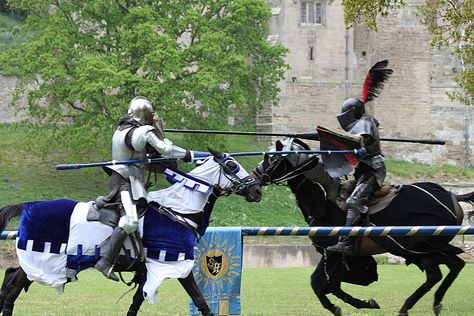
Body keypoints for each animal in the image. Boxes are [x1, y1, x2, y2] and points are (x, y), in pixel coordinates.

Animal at [254, 138, 472, 316]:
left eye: (271, 159)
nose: (253, 181)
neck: (324, 200)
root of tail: (453, 196)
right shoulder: (340, 258)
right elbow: (331, 286)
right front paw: (365, 303)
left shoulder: (332, 253)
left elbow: (318, 284)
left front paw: (339, 307)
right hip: (422, 251)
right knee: (446, 269)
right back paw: (421, 305)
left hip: (415, 246)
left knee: (447, 266)